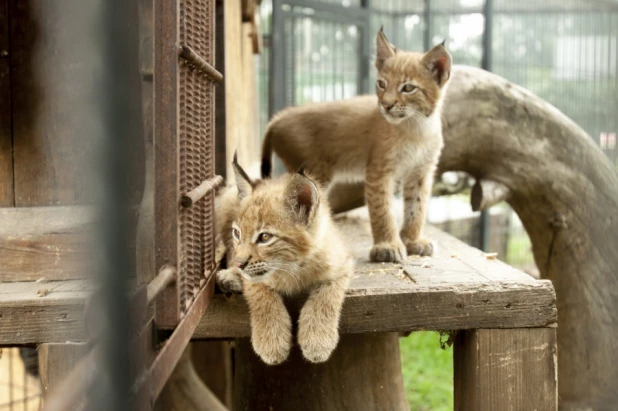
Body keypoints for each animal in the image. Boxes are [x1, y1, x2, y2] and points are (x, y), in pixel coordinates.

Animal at [214, 156, 352, 366]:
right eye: (237, 233)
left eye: (264, 237)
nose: (239, 264)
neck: (294, 267)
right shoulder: (255, 276)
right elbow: (262, 295)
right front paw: (271, 343)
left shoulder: (342, 263)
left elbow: (327, 295)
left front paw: (318, 341)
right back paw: (230, 277)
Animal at [258, 30, 450, 266]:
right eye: (382, 84)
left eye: (408, 88)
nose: (386, 105)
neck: (416, 126)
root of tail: (278, 117)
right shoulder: (379, 171)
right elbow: (382, 210)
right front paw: (387, 246)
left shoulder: (421, 171)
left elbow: (418, 207)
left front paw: (413, 240)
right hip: (313, 171)